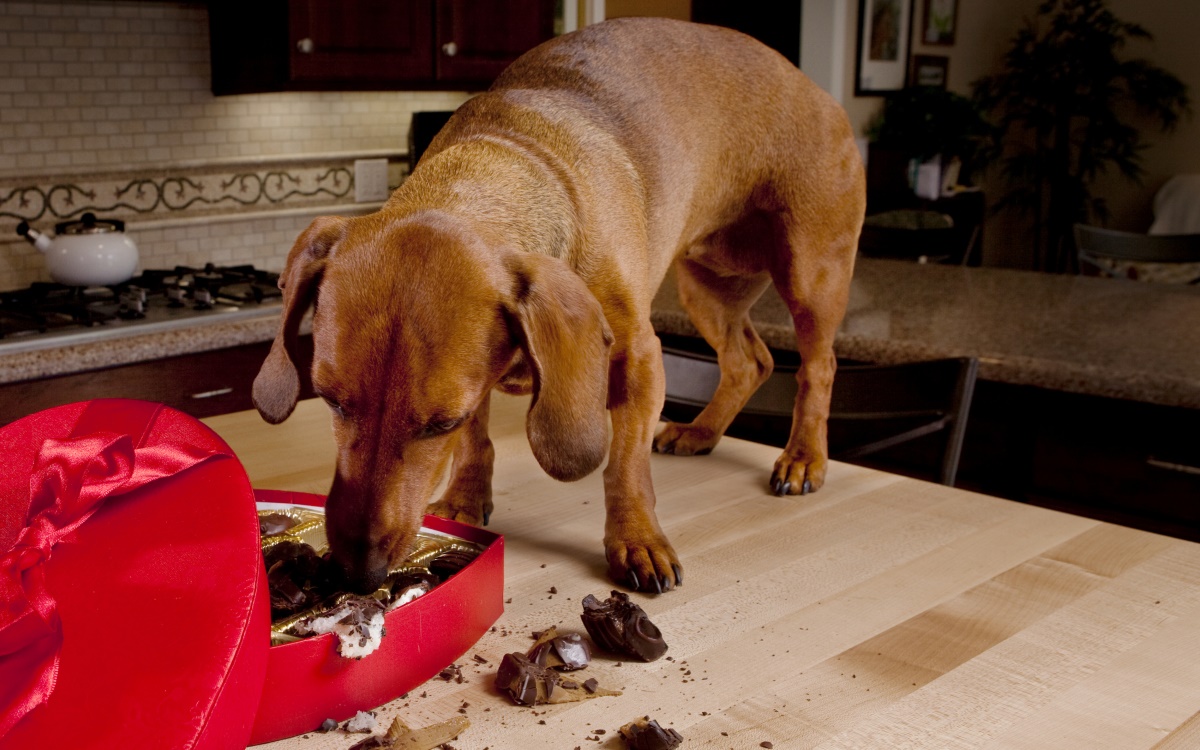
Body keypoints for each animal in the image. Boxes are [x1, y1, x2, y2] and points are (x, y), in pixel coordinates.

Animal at [253, 16, 864, 597]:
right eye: (331, 401)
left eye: (439, 423)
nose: (358, 575)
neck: (507, 160)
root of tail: (814, 88)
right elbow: (476, 444)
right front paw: (465, 499)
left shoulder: (640, 357)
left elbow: (624, 465)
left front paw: (638, 540)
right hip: (707, 286)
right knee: (750, 361)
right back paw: (702, 431)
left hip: (811, 276)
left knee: (817, 367)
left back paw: (802, 457)